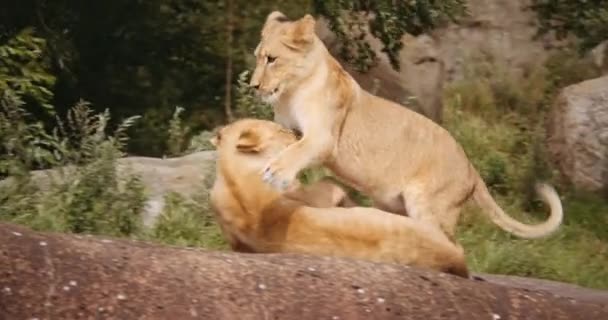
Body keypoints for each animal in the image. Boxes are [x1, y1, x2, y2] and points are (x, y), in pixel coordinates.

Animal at [207, 119, 468, 278]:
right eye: (281, 131)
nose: (297, 132)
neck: (231, 175)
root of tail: (453, 260)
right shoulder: (306, 193)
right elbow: (329, 185)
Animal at [249, 11, 564, 239]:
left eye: (272, 59)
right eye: (257, 57)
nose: (253, 86)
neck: (290, 93)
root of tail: (471, 169)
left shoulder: (324, 137)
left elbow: (298, 151)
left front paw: (275, 173)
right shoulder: (290, 128)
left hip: (427, 203)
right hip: (396, 204)